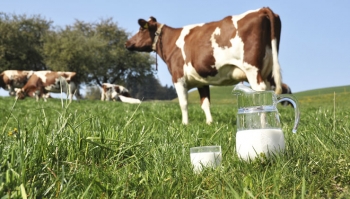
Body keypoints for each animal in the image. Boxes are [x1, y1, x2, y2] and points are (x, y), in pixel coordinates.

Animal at [125, 7, 282, 124]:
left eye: (141, 29)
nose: (127, 43)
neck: (172, 42)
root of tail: (262, 9)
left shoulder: (178, 77)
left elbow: (183, 103)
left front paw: (185, 124)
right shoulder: (201, 81)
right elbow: (205, 103)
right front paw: (209, 123)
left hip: (252, 69)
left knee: (260, 92)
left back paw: (262, 122)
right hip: (268, 70)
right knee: (269, 92)